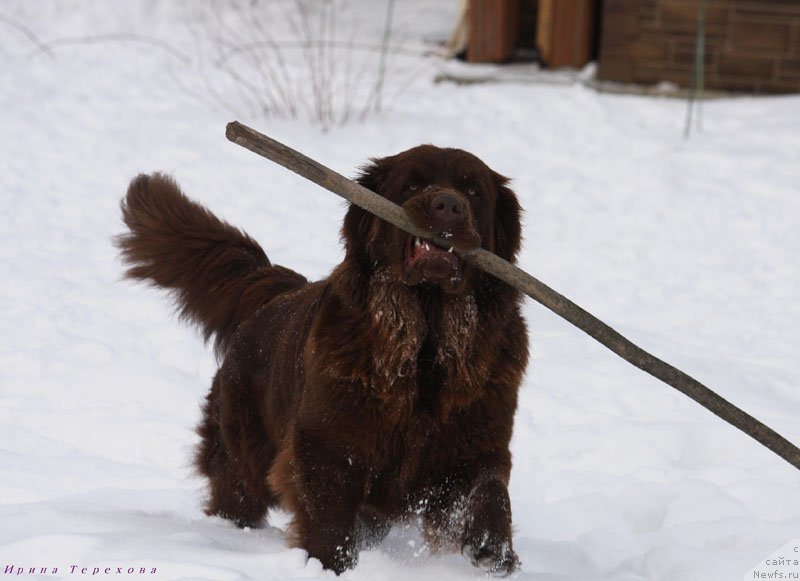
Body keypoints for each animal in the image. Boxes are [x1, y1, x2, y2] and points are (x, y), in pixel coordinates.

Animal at [117, 145, 532, 576]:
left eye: (473, 192)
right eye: (413, 184)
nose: (448, 205)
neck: (425, 343)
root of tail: (275, 295)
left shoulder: (479, 435)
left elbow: (486, 490)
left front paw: (493, 553)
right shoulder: (328, 439)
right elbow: (329, 511)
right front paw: (330, 565)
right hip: (243, 445)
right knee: (236, 489)